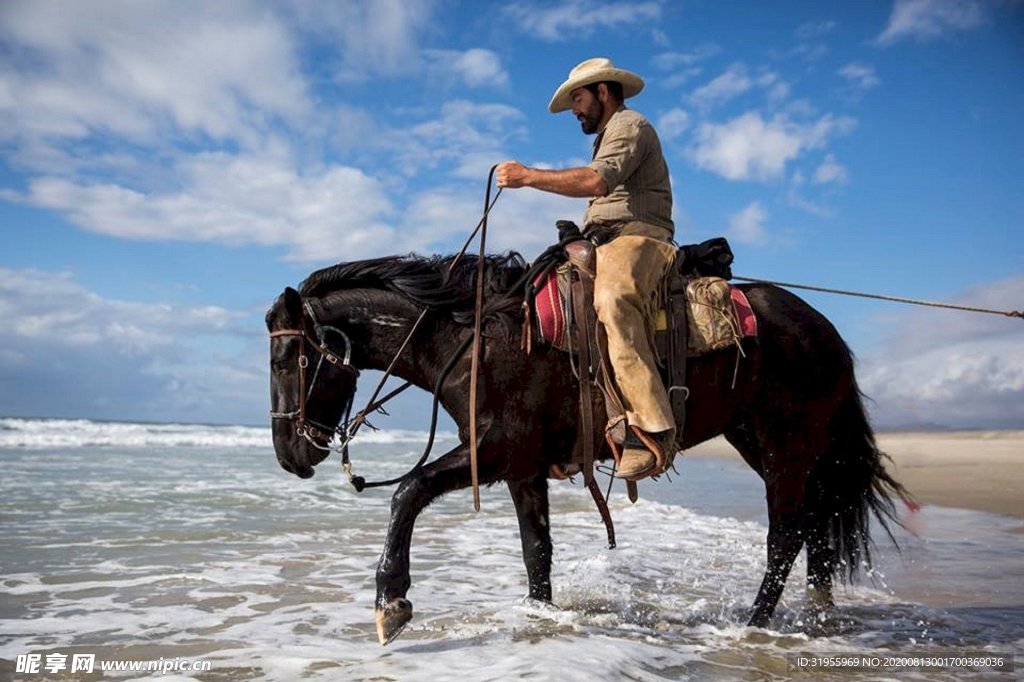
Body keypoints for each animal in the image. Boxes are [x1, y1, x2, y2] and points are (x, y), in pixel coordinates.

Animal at [266, 250, 913, 643]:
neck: (475, 337)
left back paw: (755, 624)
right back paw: (816, 614)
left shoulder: (494, 449)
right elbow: (536, 551)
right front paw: (541, 616)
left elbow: (408, 491)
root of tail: (824, 329)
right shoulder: (522, 467)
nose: (289, 456)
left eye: (286, 358)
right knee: (815, 524)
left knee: (785, 535)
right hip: (762, 440)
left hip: (787, 445)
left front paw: (391, 603)